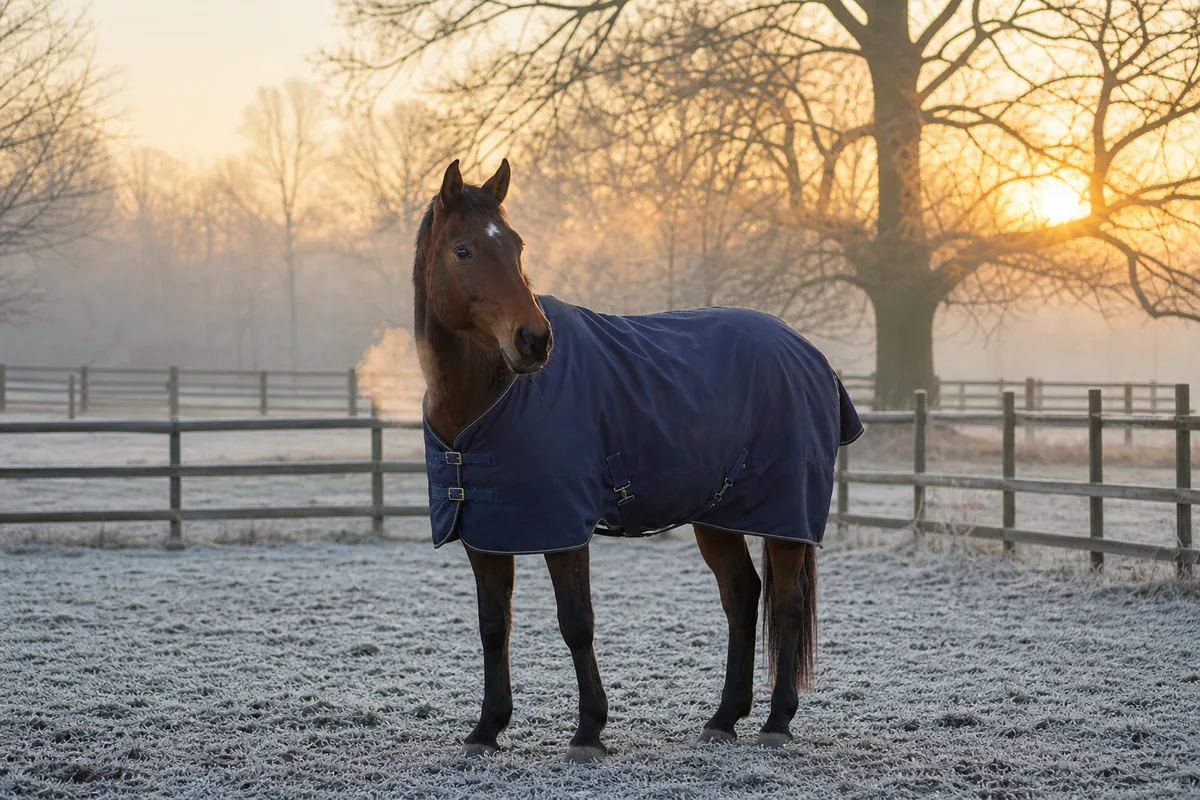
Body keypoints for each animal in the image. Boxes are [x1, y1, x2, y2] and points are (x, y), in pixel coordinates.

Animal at [412, 158, 863, 763]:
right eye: (462, 250)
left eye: (516, 245)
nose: (534, 341)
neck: (487, 398)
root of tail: (809, 352)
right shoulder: (485, 531)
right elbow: (493, 627)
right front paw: (487, 729)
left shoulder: (563, 527)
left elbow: (576, 622)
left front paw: (589, 732)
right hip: (718, 516)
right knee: (742, 596)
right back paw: (723, 719)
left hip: (785, 516)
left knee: (787, 602)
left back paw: (777, 722)